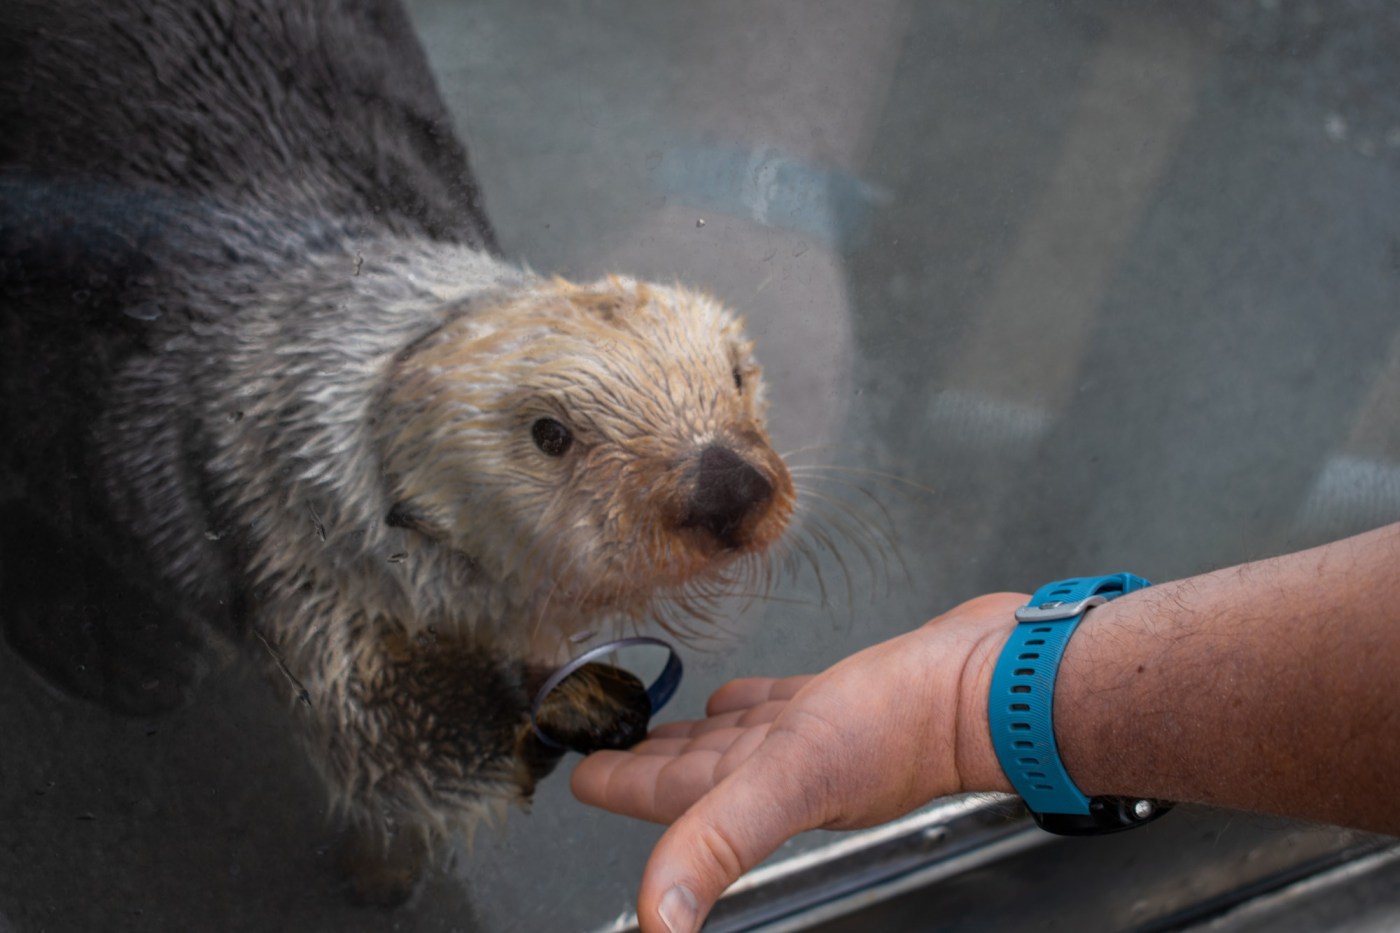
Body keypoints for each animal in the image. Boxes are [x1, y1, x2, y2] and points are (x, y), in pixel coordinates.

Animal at [0, 0, 793, 905]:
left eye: (736, 374)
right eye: (550, 433)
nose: (728, 484)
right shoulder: (292, 559)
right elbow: (391, 738)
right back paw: (127, 655)